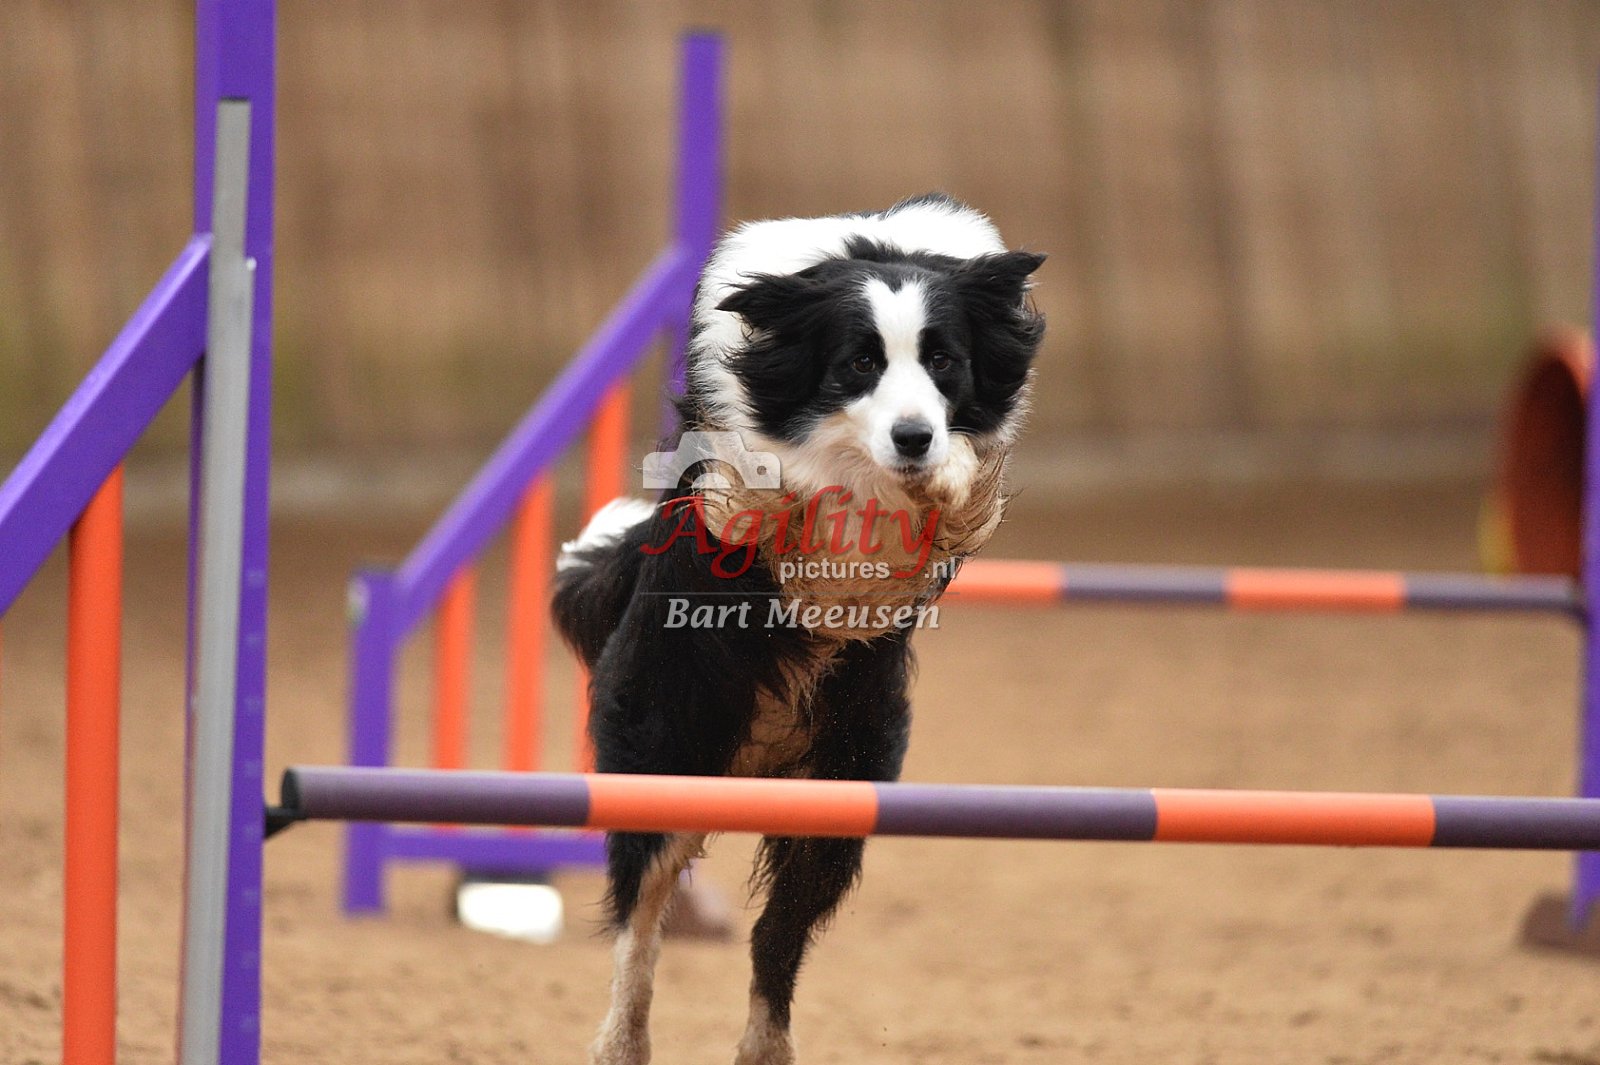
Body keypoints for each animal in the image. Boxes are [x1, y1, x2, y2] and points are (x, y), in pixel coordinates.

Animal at [553, 193, 1045, 1065]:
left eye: (944, 360)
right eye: (858, 363)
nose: (914, 436)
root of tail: (756, 766)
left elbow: (950, 488)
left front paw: (937, 476)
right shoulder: (739, 469)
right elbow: (785, 479)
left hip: (841, 794)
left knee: (773, 940)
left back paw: (764, 1046)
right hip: (664, 754)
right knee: (640, 924)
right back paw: (621, 1041)